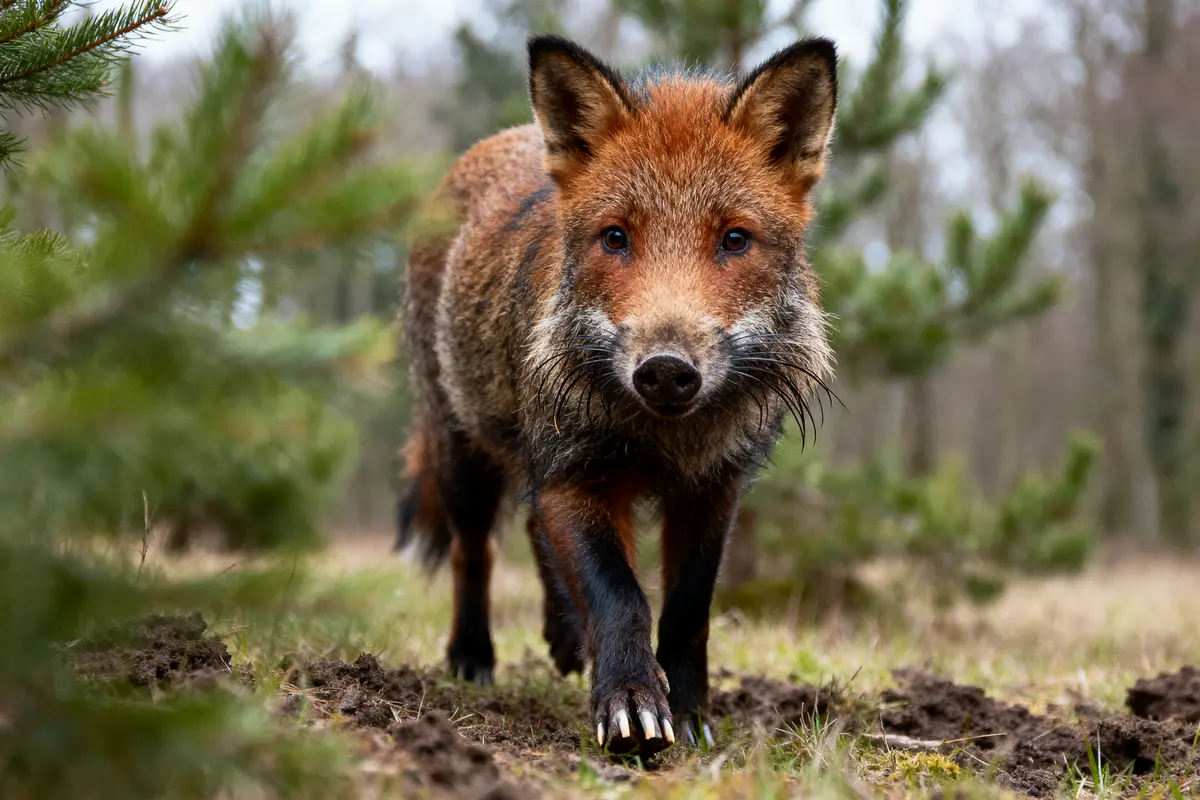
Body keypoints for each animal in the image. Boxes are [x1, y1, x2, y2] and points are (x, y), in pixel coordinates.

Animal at [395, 34, 838, 757]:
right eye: (616, 237)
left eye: (734, 240)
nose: (665, 369)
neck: (665, 441)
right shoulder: (577, 473)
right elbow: (620, 596)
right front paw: (632, 705)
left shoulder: (713, 489)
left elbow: (686, 611)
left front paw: (689, 714)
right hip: (465, 452)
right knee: (475, 549)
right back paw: (471, 657)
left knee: (530, 528)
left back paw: (564, 638)